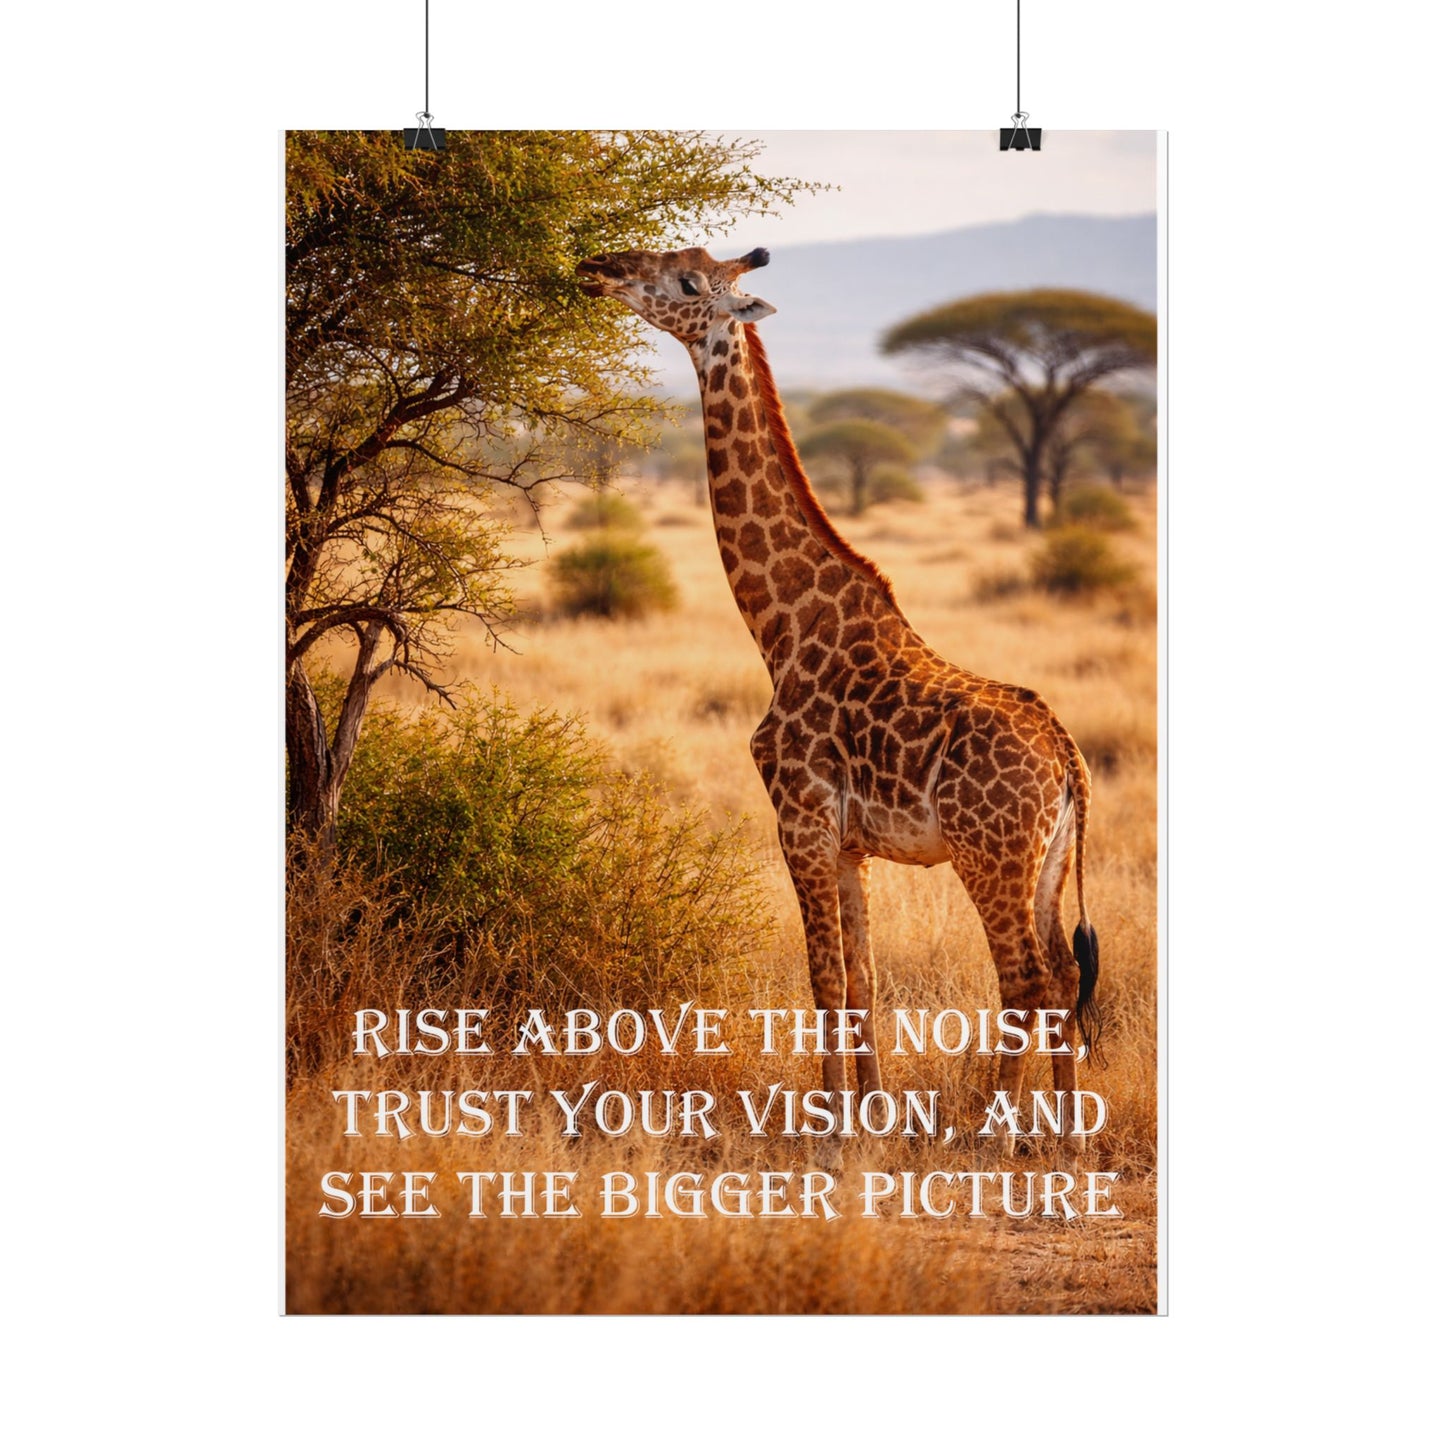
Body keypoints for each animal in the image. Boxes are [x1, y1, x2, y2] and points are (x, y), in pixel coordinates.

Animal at [576, 245, 1101, 1148]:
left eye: (686, 283)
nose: (598, 265)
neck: (780, 628)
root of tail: (1066, 755)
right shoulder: (851, 843)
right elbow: (864, 978)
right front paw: (873, 1113)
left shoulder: (800, 819)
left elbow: (822, 975)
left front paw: (827, 1125)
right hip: (1046, 859)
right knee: (1064, 974)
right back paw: (1065, 1135)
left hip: (989, 852)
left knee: (1024, 977)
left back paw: (992, 1129)